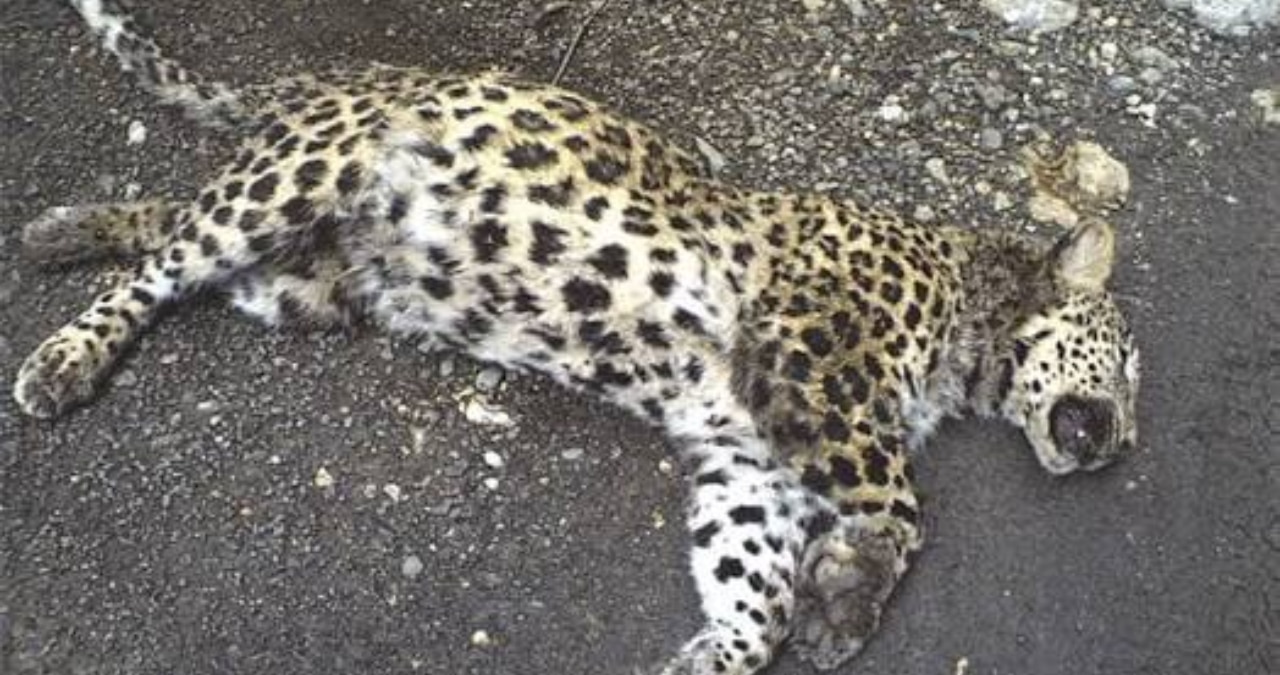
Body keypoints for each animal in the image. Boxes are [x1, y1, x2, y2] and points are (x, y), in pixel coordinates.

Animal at [11, 2, 1142, 673]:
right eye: (1130, 365)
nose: (1122, 443)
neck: (966, 313)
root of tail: (325, 83)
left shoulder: (750, 457)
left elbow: (753, 584)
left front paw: (724, 650)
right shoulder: (815, 353)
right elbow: (901, 504)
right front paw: (850, 598)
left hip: (306, 279)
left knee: (167, 221)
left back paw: (61, 228)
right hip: (298, 181)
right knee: (162, 264)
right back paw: (61, 358)